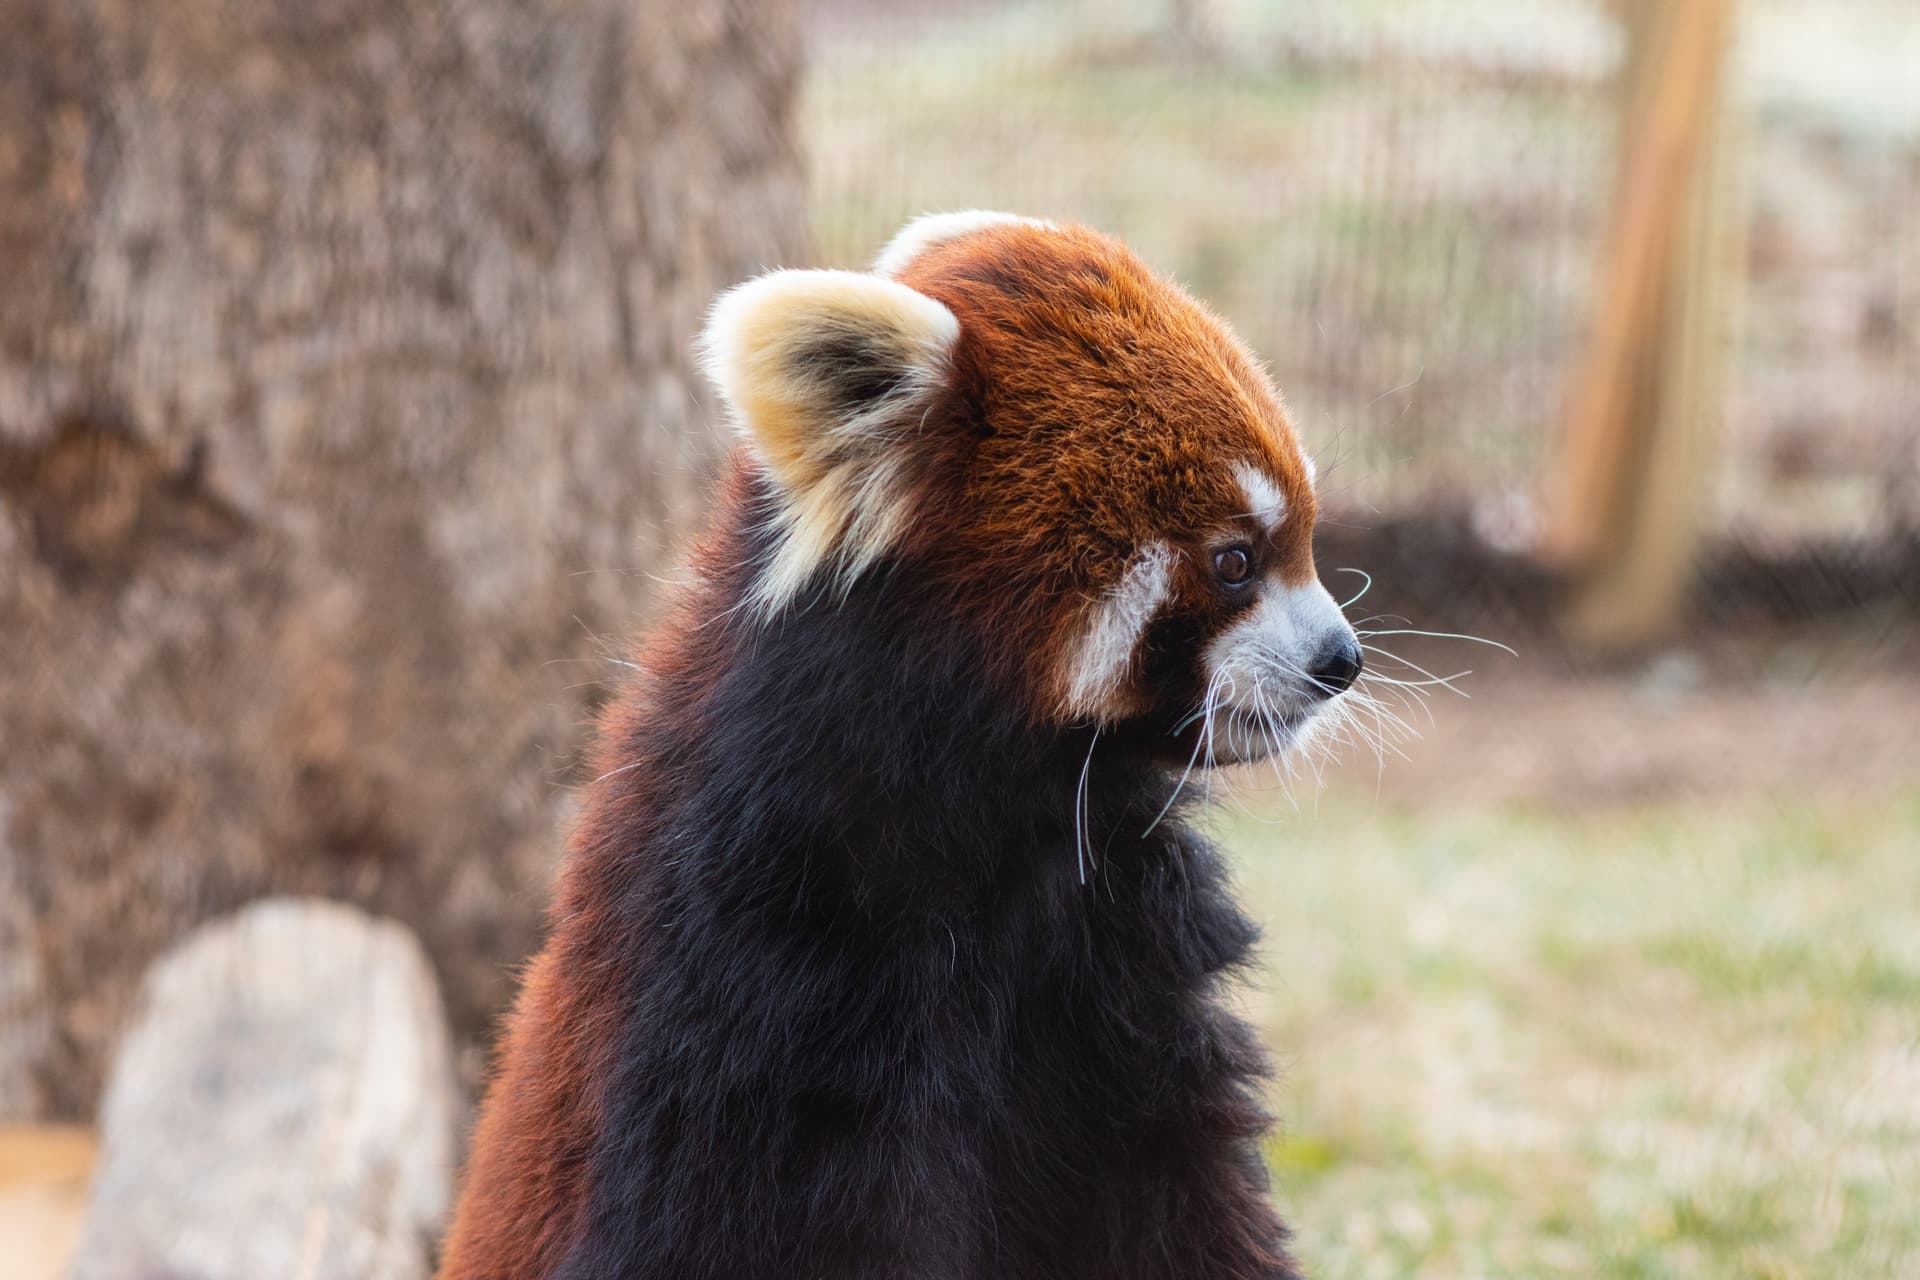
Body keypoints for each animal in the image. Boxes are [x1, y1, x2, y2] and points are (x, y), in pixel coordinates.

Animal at [437, 211, 1363, 1280]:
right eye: (1234, 561)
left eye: (1303, 537)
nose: (1342, 661)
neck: (993, 830)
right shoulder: (745, 965)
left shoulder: (1123, 951)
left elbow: (1180, 1184)